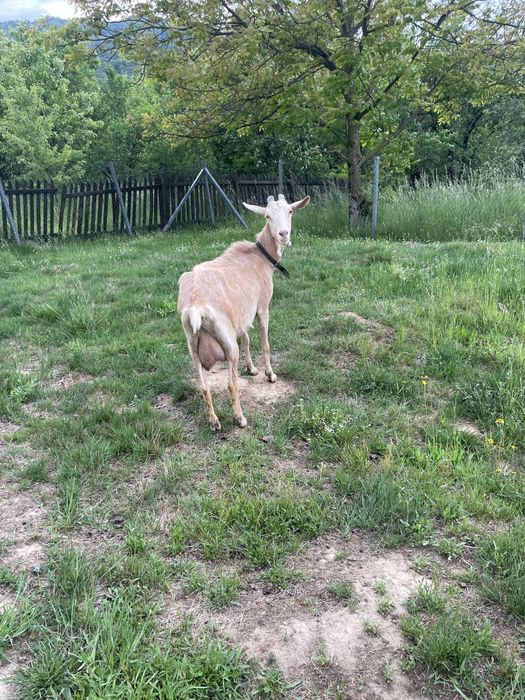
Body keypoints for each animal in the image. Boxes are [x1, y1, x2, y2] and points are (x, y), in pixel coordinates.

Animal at [177, 193, 310, 430]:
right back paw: (239, 418)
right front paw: (269, 374)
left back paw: (214, 422)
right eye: (267, 216)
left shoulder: (241, 315)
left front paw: (251, 368)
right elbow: (264, 342)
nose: (283, 234)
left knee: (204, 387)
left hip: (193, 345)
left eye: (290, 211)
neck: (259, 257)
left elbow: (247, 337)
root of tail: (195, 305)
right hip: (227, 341)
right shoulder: (262, 306)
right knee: (231, 383)